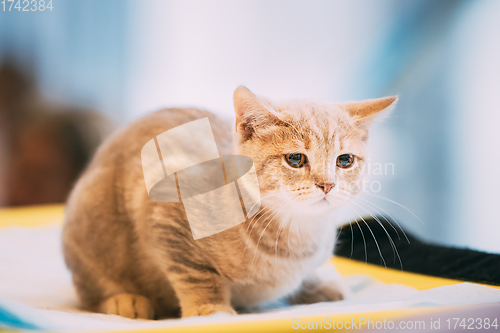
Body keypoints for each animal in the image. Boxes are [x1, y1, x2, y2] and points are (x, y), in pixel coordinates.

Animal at [62, 87, 396, 318]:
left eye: (345, 160)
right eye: (295, 159)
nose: (327, 184)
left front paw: (318, 285)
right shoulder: (166, 209)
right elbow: (196, 273)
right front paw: (209, 310)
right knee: (88, 290)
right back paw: (123, 299)